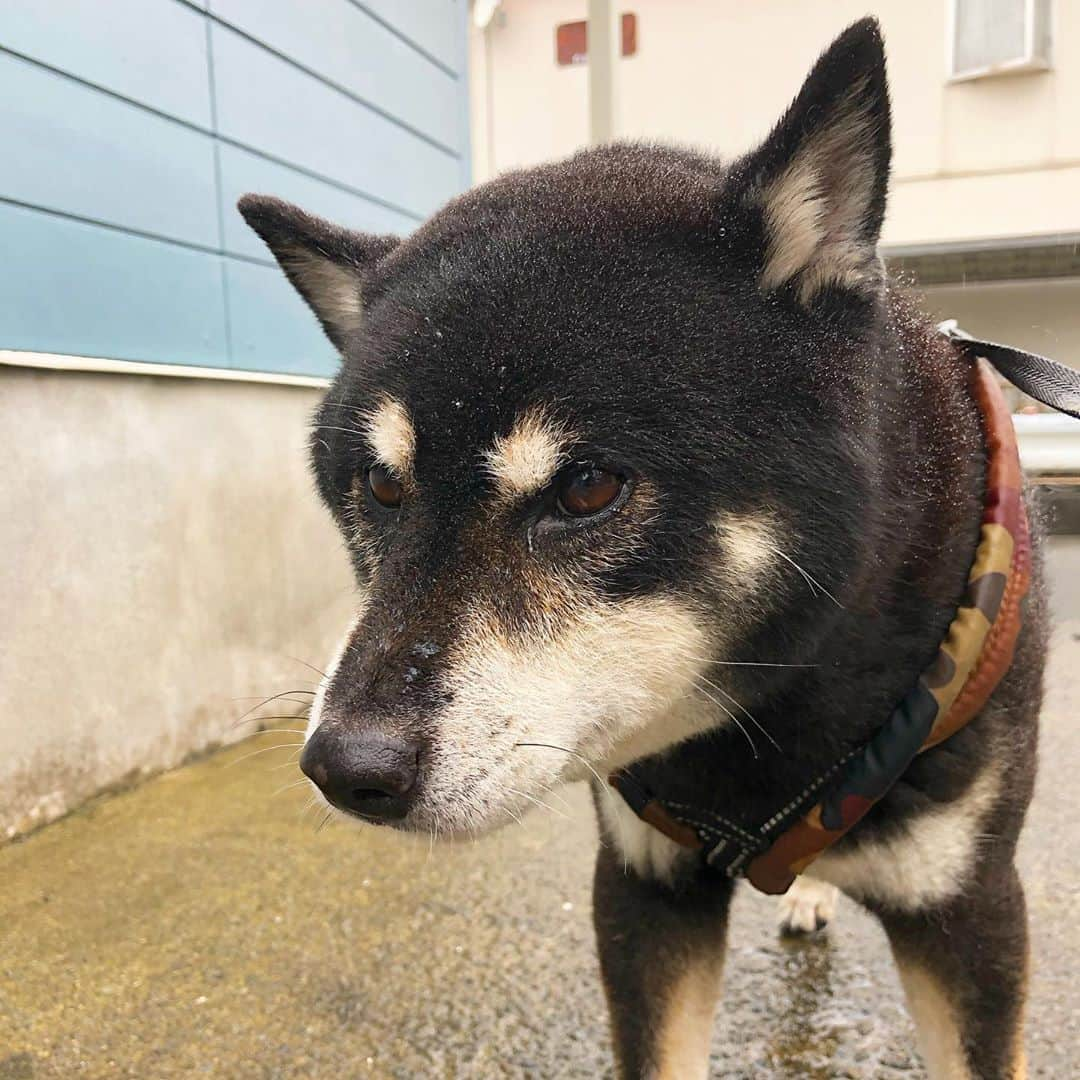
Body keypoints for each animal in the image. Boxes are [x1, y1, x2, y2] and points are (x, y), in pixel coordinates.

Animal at [240, 19, 1041, 1080]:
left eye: (587, 488)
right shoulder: (643, 883)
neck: (770, 717)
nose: (343, 767)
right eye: (380, 487)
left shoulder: (972, 914)